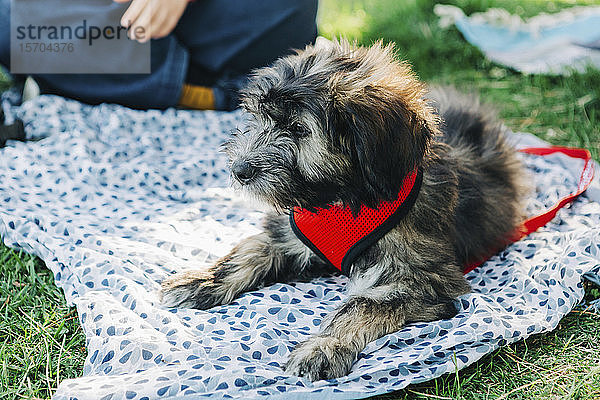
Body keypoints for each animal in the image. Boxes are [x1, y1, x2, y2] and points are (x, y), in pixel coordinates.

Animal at [162, 39, 528, 380]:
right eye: (260, 118)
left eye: (298, 129)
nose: (239, 170)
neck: (342, 199)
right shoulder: (288, 234)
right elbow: (249, 253)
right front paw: (200, 280)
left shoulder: (419, 277)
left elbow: (361, 304)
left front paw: (323, 346)